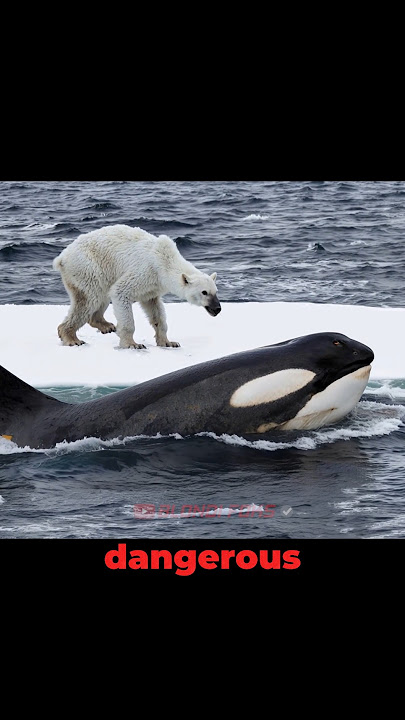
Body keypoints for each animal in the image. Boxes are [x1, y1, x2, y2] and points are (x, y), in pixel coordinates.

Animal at [52, 224, 221, 349]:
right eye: (204, 292)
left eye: (215, 291)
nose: (217, 309)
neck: (164, 260)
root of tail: (62, 257)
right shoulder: (145, 271)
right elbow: (120, 291)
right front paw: (133, 344)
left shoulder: (154, 287)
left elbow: (156, 311)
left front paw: (169, 342)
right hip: (88, 267)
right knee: (89, 299)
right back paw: (72, 338)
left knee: (101, 296)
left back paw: (106, 326)